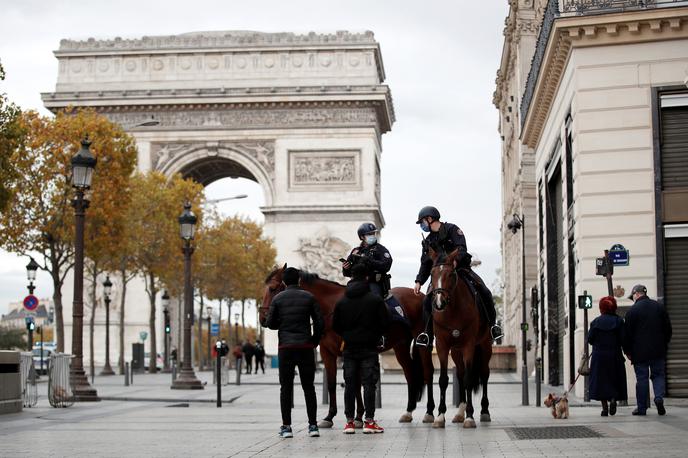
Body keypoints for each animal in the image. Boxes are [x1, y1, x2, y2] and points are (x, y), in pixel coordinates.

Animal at [260, 264, 438, 430]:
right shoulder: (327, 352)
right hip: (400, 345)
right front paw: (330, 416)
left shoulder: (351, 350)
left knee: (428, 372)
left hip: (422, 342)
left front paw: (358, 417)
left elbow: (356, 383)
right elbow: (332, 383)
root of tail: (419, 294)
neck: (331, 307)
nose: (263, 319)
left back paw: (429, 412)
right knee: (410, 373)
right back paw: (408, 411)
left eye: (273, 288)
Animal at [428, 249, 492, 428]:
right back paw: (459, 412)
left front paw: (470, 416)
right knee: (461, 374)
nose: (439, 303)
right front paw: (440, 416)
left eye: (451, 274)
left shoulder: (469, 345)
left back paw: (484, 411)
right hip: (456, 351)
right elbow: (444, 380)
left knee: (484, 374)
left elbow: (470, 379)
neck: (453, 310)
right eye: (432, 273)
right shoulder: (442, 346)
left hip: (485, 346)